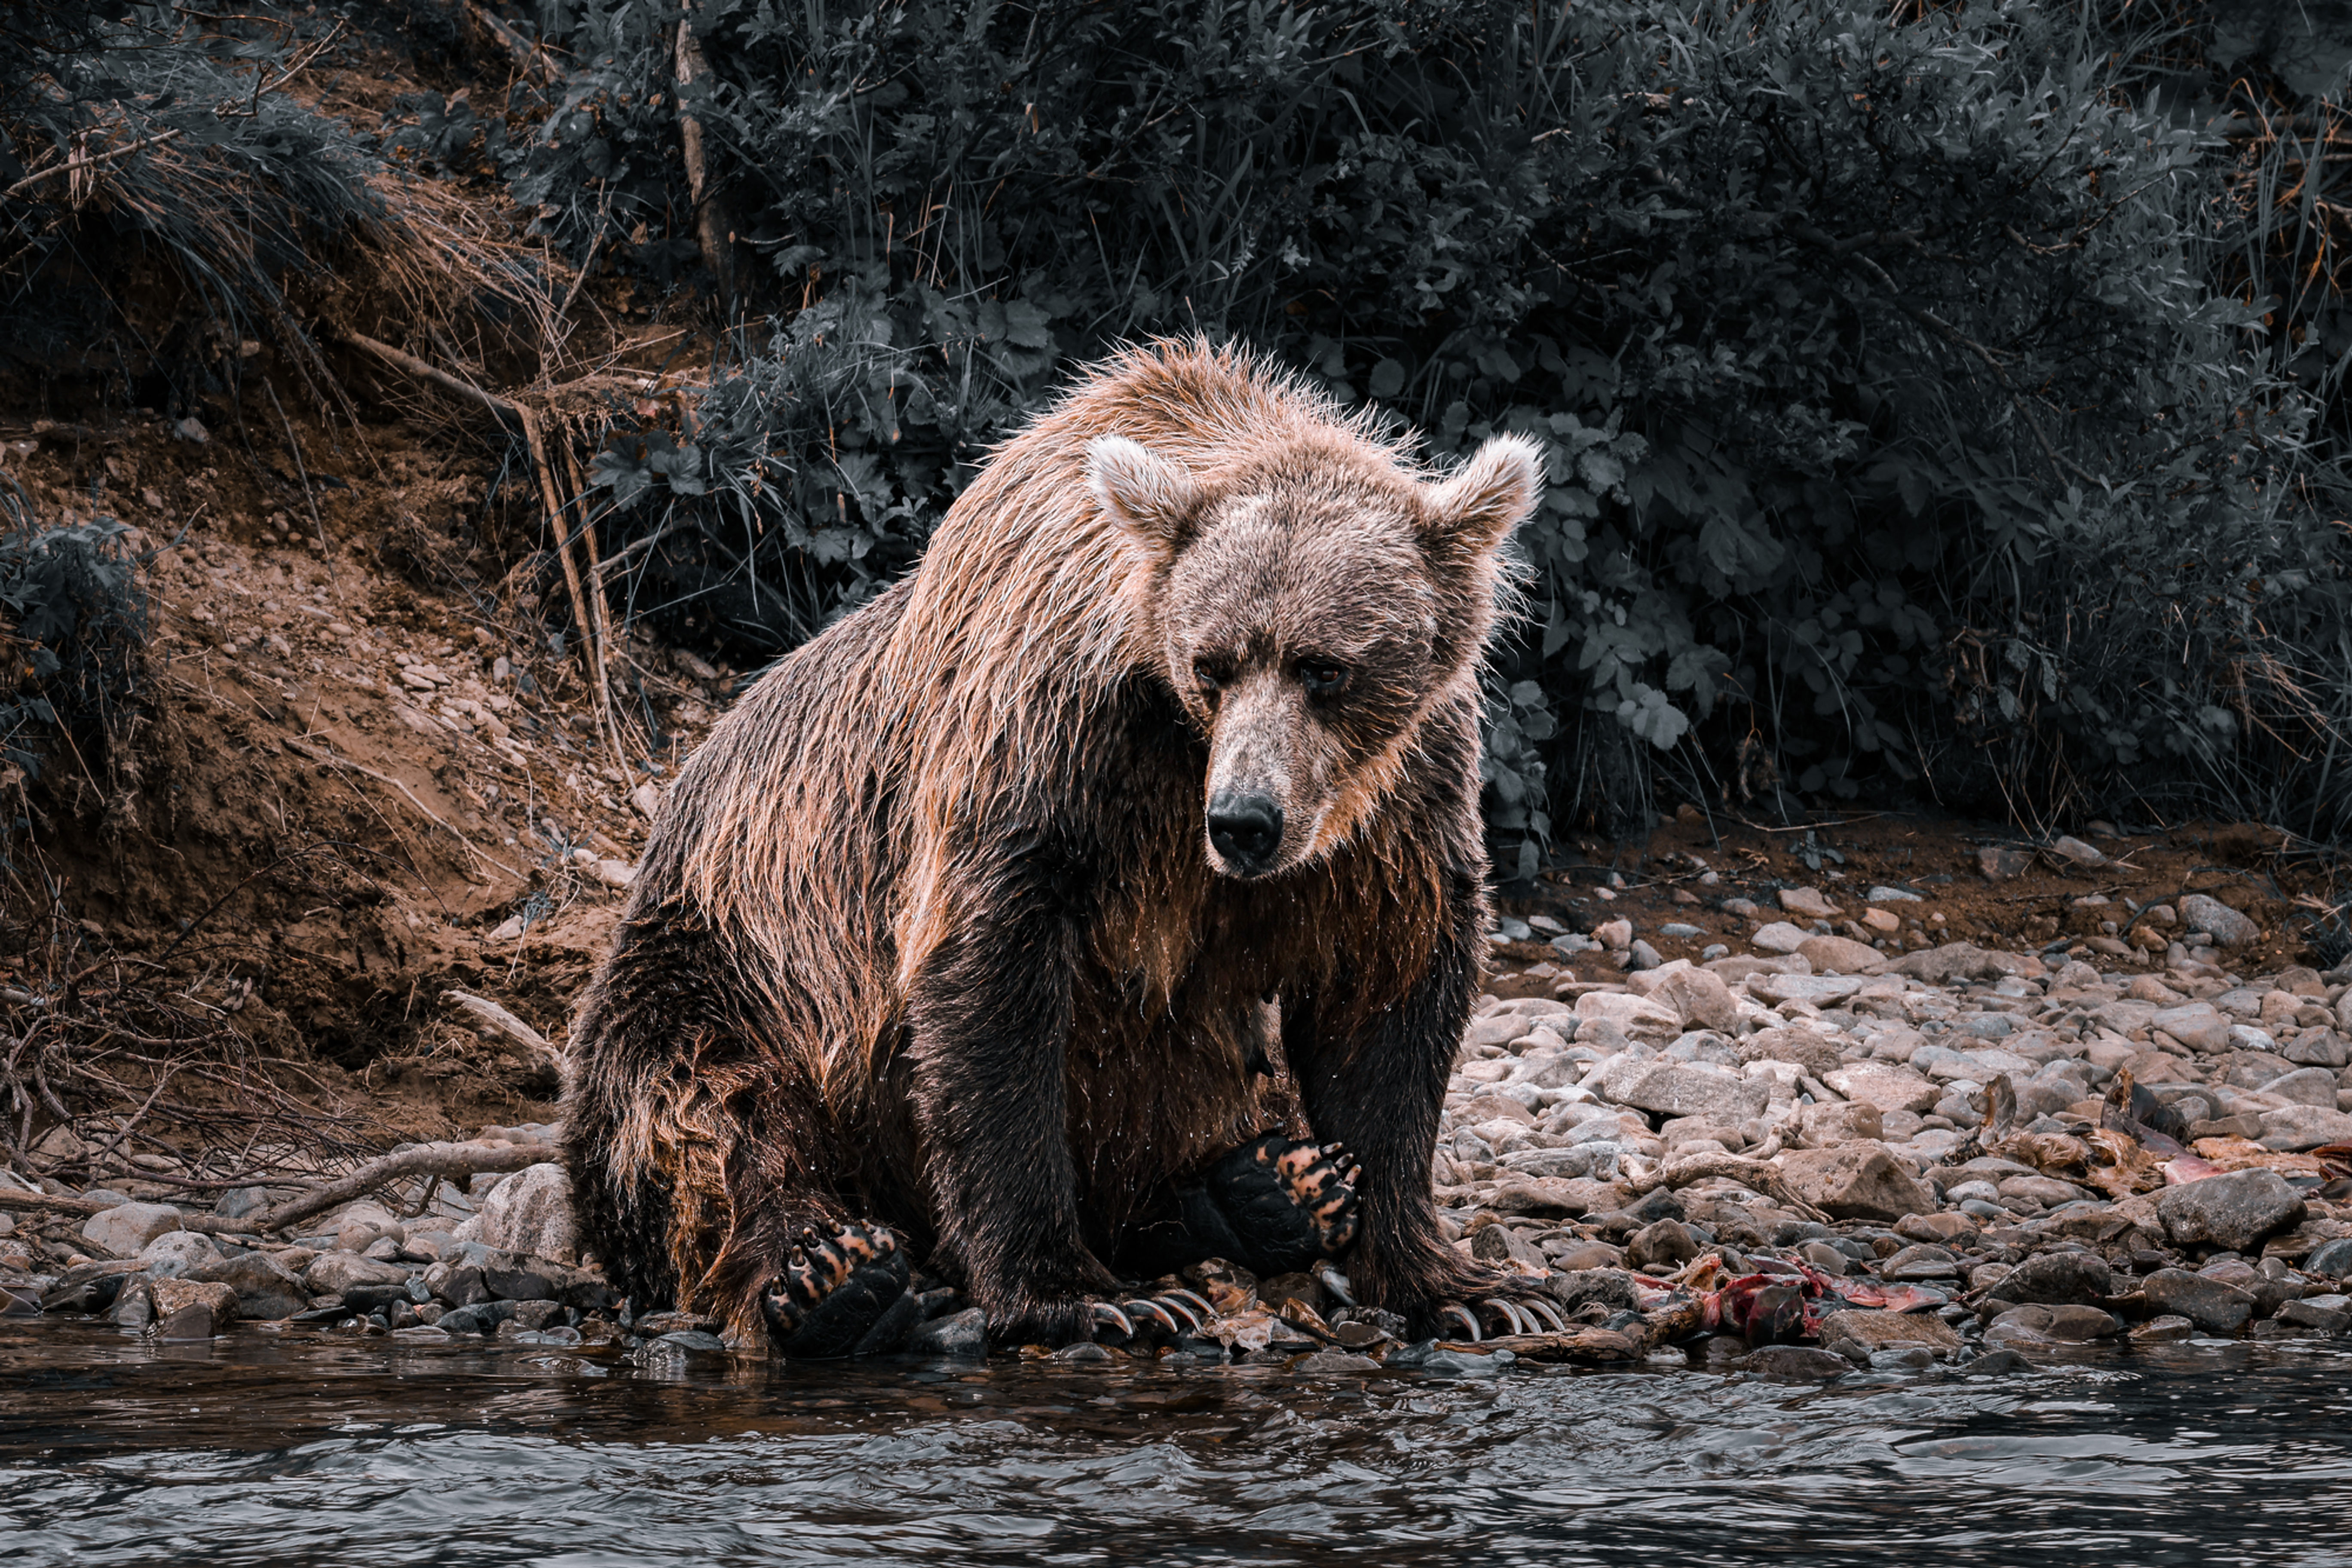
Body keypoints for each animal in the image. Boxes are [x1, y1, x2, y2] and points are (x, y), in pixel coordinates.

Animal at [561, 338, 1547, 1354]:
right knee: (711, 1115)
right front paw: (1081, 1292)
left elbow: (1387, 998)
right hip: (726, 958)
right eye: (1213, 663)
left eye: (1323, 668)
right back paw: (833, 1275)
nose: (1243, 820)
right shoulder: (1047, 745)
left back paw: (1273, 1189)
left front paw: (1461, 1285)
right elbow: (992, 982)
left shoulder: (1397, 808)